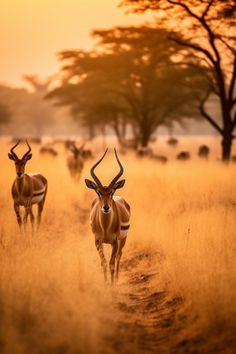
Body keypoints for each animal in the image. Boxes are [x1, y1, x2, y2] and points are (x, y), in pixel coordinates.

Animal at [85, 148, 131, 284]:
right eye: (98, 192)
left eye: (111, 192)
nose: (106, 208)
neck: (105, 227)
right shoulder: (97, 241)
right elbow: (104, 263)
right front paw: (105, 284)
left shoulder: (114, 242)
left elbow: (111, 264)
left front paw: (111, 285)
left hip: (123, 239)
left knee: (119, 256)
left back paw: (116, 280)